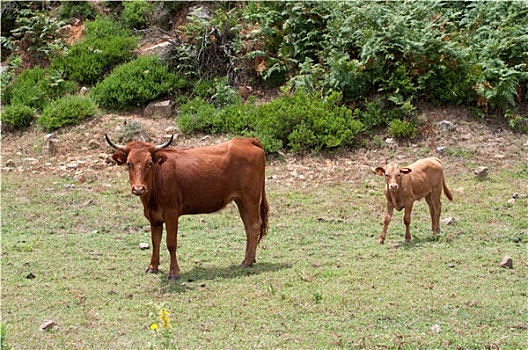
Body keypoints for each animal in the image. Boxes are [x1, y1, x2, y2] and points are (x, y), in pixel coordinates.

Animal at [104, 134, 268, 278]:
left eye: (149, 163)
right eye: (129, 164)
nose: (138, 189)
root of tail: (246, 140)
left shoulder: (171, 214)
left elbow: (171, 243)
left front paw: (173, 273)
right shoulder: (154, 218)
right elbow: (155, 241)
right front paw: (152, 267)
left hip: (251, 198)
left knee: (254, 226)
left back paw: (247, 262)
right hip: (241, 200)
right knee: (247, 227)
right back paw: (249, 259)